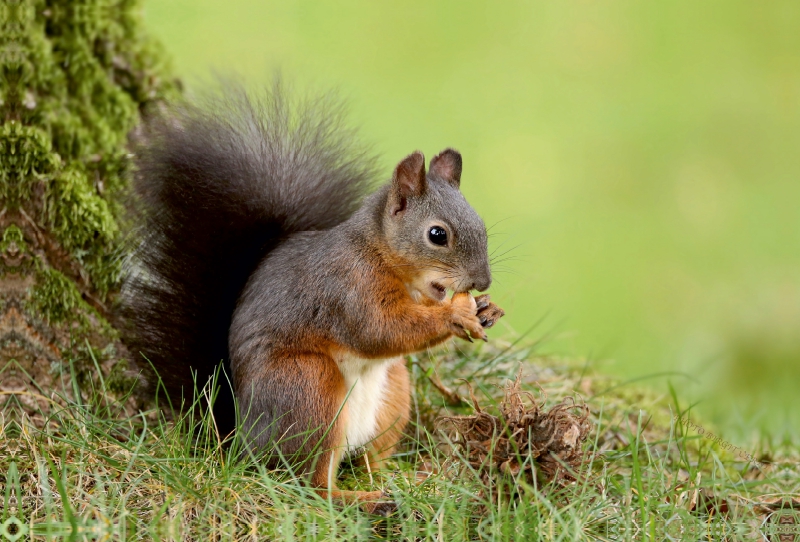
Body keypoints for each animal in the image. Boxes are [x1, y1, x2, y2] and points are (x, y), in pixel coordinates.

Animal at [122, 83, 504, 508]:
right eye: (437, 235)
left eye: (480, 224)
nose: (482, 281)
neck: (379, 253)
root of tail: (239, 439)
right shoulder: (347, 287)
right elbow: (378, 331)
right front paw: (455, 316)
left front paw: (486, 309)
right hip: (308, 388)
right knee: (309, 485)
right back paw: (362, 499)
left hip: (393, 396)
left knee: (367, 459)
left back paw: (402, 480)